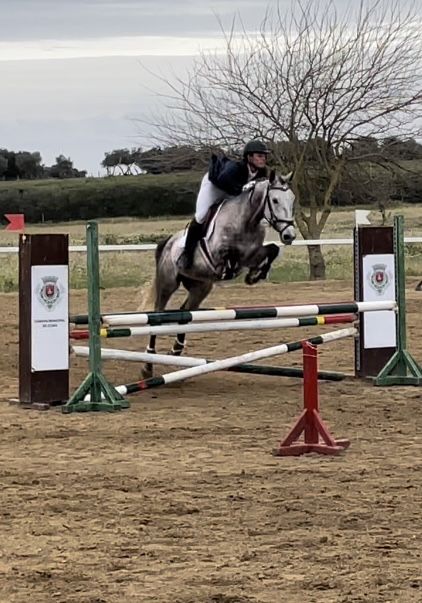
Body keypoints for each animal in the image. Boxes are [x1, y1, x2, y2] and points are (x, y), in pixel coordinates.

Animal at [140, 170, 296, 378]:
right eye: (275, 200)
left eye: (292, 199)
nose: (289, 236)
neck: (247, 220)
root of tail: (168, 242)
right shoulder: (218, 253)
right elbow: (231, 255)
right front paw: (244, 272)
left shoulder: (252, 253)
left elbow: (272, 249)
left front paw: (255, 275)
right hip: (168, 283)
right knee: (157, 317)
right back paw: (148, 365)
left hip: (201, 287)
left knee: (185, 312)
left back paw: (176, 349)